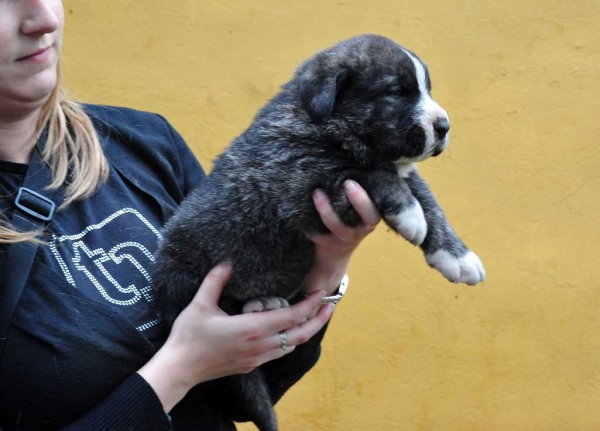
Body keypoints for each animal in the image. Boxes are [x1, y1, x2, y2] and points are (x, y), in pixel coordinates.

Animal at [152, 33, 486, 431]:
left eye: (426, 89)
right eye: (397, 92)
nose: (444, 127)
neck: (326, 123)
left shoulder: (393, 171)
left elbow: (429, 198)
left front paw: (457, 256)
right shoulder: (299, 175)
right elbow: (364, 172)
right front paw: (409, 214)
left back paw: (263, 301)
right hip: (184, 274)